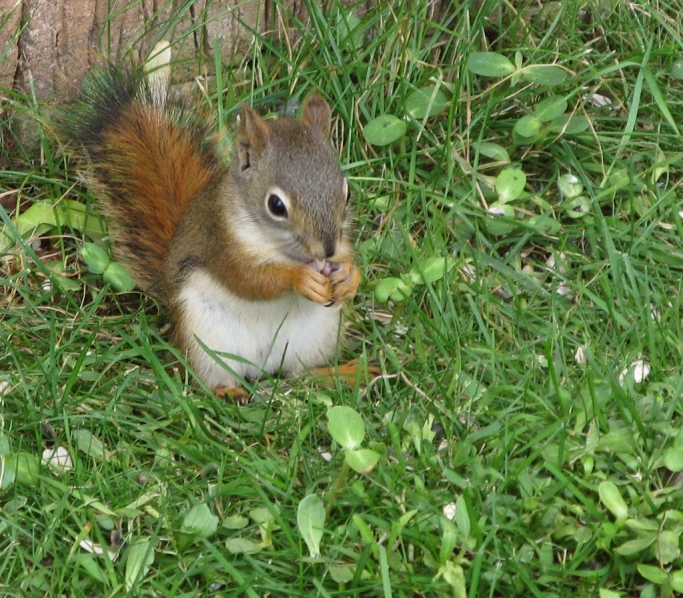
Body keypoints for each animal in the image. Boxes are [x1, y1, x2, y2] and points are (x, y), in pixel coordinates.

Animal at [64, 51, 364, 398]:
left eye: (347, 192)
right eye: (276, 205)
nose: (326, 250)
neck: (282, 248)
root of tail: (262, 368)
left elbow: (348, 258)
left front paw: (350, 277)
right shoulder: (220, 241)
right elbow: (248, 280)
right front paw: (300, 278)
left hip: (319, 334)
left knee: (301, 374)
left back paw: (342, 373)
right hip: (204, 339)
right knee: (204, 382)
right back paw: (228, 392)